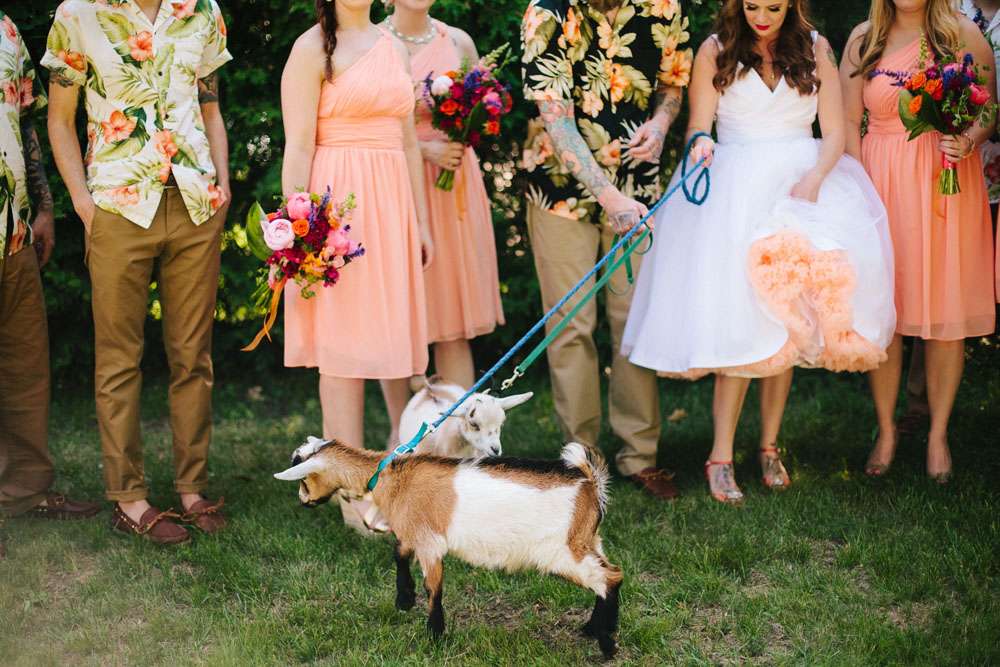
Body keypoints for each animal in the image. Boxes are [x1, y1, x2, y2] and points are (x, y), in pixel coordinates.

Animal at [274, 437, 624, 658]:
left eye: (302, 479)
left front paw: (435, 634)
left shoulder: (429, 543)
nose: (303, 502)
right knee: (610, 574)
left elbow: (434, 588)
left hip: (561, 550)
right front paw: (404, 598)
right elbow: (399, 553)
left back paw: (607, 645)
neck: (391, 478)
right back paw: (593, 629)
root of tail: (589, 482)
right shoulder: (413, 532)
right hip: (587, 540)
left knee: (608, 578)